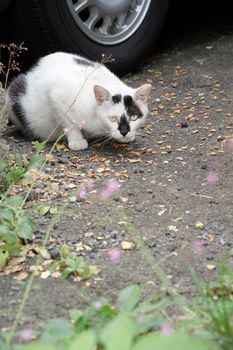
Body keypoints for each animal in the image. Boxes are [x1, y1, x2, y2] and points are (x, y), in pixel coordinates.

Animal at [6, 52, 152, 150]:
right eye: (112, 118)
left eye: (133, 117)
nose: (124, 131)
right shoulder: (57, 95)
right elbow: (69, 123)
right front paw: (77, 141)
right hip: (13, 93)